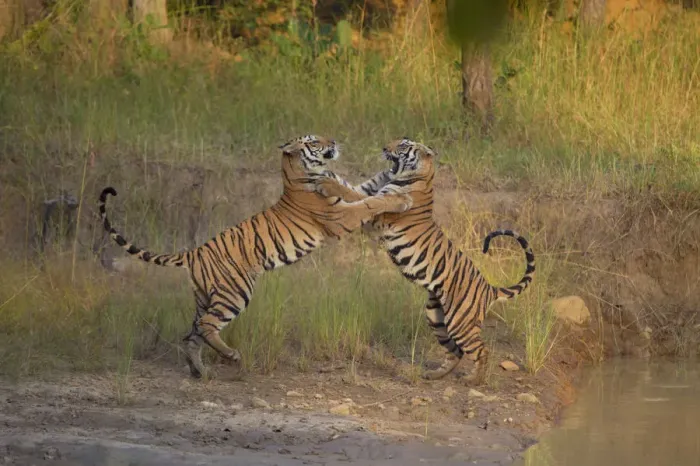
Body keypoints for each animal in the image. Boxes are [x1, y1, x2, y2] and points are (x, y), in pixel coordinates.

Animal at [98, 135, 413, 379]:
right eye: (313, 141)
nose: (333, 141)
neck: (299, 173)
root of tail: (193, 253)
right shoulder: (340, 216)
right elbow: (370, 202)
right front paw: (401, 199)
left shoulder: (349, 191)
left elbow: (370, 188)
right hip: (235, 293)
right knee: (207, 326)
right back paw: (231, 356)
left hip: (204, 298)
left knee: (192, 334)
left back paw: (201, 371)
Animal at [306, 138, 535, 384]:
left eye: (403, 146)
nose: (385, 148)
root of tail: (489, 288)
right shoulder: (369, 189)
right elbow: (350, 188)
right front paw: (320, 173)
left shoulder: (379, 213)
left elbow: (360, 199)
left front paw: (325, 182)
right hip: (436, 317)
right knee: (455, 351)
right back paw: (435, 374)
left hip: (460, 321)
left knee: (481, 350)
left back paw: (474, 379)